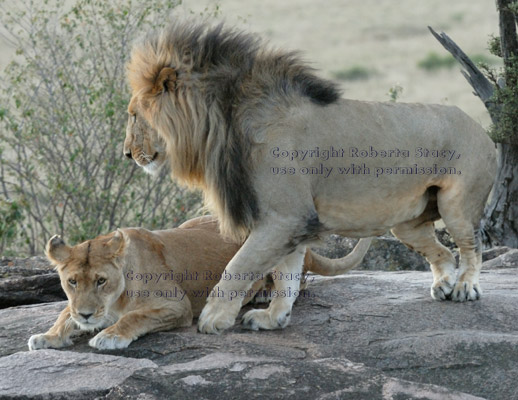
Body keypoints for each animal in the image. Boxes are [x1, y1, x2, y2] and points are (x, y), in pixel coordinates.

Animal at [28, 216, 372, 350]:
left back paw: (263, 298)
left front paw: (110, 335)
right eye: (72, 281)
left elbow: (134, 317)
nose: (87, 314)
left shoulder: (176, 305)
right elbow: (64, 313)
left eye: (101, 280)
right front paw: (48, 336)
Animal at [125, 21, 500, 334]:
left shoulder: (284, 216)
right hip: (408, 223)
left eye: (134, 115)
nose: (127, 153)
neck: (223, 122)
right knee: (443, 252)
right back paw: (444, 283)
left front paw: (213, 318)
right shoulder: (290, 222)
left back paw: (465, 287)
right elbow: (285, 276)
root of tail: (480, 127)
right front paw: (274, 318)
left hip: (456, 205)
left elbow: (238, 266)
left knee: (471, 246)